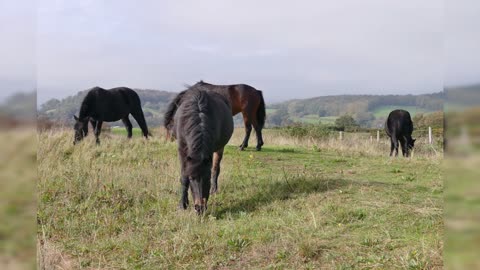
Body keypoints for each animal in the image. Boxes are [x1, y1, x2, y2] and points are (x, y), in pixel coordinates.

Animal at [171, 85, 234, 214]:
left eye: (207, 178)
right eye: (192, 178)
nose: (199, 208)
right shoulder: (182, 150)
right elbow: (183, 176)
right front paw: (182, 204)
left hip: (220, 148)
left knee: (216, 168)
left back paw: (214, 189)